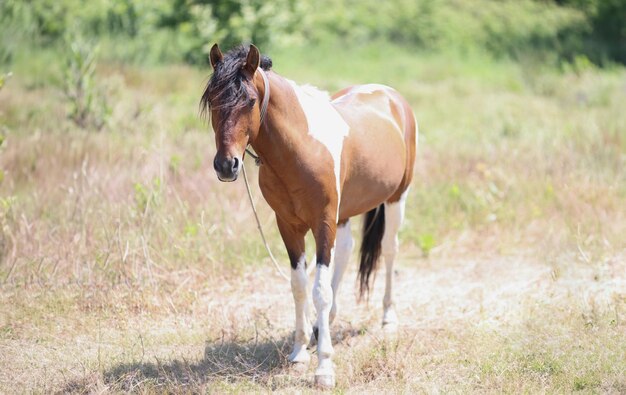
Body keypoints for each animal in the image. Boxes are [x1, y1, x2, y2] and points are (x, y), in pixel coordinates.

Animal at [200, 44, 414, 390]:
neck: (301, 147)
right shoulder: (289, 225)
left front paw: (324, 368)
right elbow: (300, 286)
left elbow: (319, 291)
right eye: (211, 100)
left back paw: (387, 317)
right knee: (345, 252)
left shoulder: (323, 222)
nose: (226, 165)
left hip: (397, 198)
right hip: (345, 214)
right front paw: (300, 350)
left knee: (389, 249)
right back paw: (322, 327)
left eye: (249, 101)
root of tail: (390, 95)